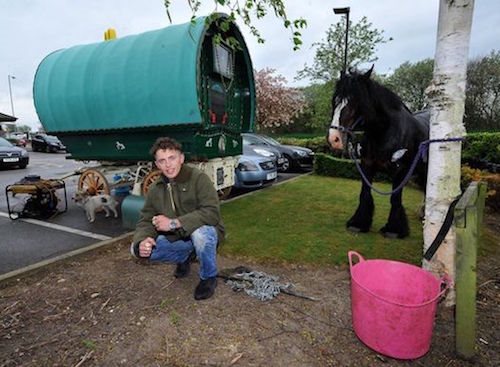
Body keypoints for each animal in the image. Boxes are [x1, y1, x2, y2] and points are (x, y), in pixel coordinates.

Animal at [328, 66, 430, 240]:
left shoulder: (400, 172)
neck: (384, 132)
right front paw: (359, 223)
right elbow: (364, 194)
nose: (333, 138)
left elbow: (395, 199)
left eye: (355, 102)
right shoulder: (367, 166)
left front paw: (394, 229)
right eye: (335, 101)